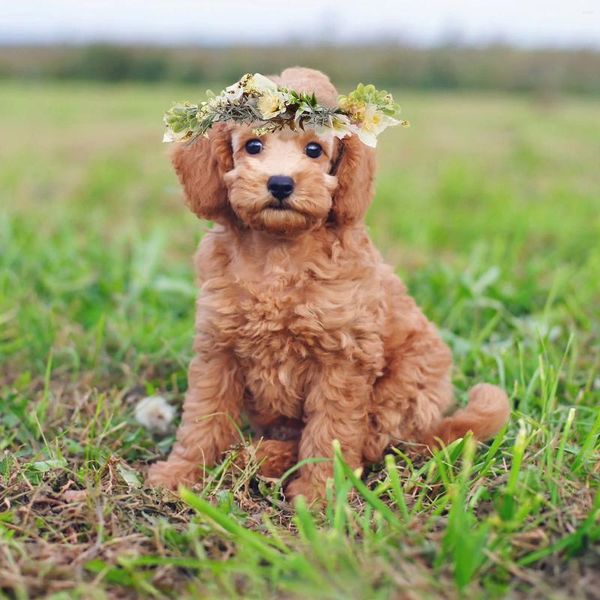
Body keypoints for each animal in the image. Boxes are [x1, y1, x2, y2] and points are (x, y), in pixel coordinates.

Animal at [148, 67, 508, 502]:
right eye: (253, 145)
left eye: (314, 150)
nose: (281, 184)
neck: (279, 253)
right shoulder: (218, 350)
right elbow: (203, 417)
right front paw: (181, 473)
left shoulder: (343, 359)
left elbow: (331, 431)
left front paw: (319, 494)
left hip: (404, 388)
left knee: (371, 443)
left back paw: (262, 457)